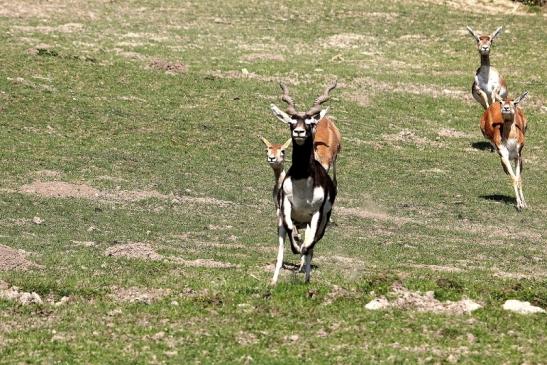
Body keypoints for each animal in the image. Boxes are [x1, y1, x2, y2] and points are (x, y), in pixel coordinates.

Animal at [268, 81, 338, 282]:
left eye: (310, 122)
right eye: (291, 122)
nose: (299, 132)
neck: (302, 184)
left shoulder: (317, 214)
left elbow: (310, 244)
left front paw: (303, 252)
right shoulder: (286, 208)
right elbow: (292, 235)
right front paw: (297, 247)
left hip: (321, 222)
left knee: (313, 245)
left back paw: (306, 278)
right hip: (285, 222)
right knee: (283, 247)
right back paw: (275, 280)